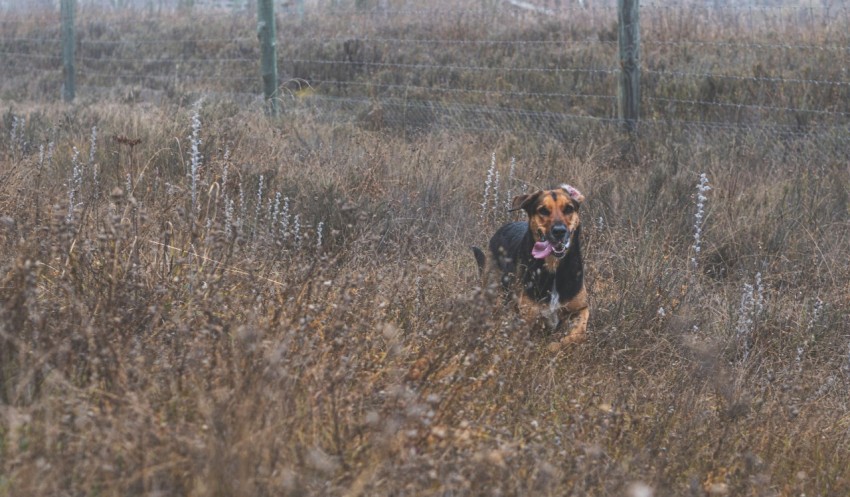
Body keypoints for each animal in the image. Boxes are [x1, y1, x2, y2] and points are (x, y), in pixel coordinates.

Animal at [474, 184, 588, 350]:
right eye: (543, 210)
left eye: (568, 209)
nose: (559, 231)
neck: (553, 268)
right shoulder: (526, 318)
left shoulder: (581, 309)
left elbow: (576, 335)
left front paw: (554, 346)